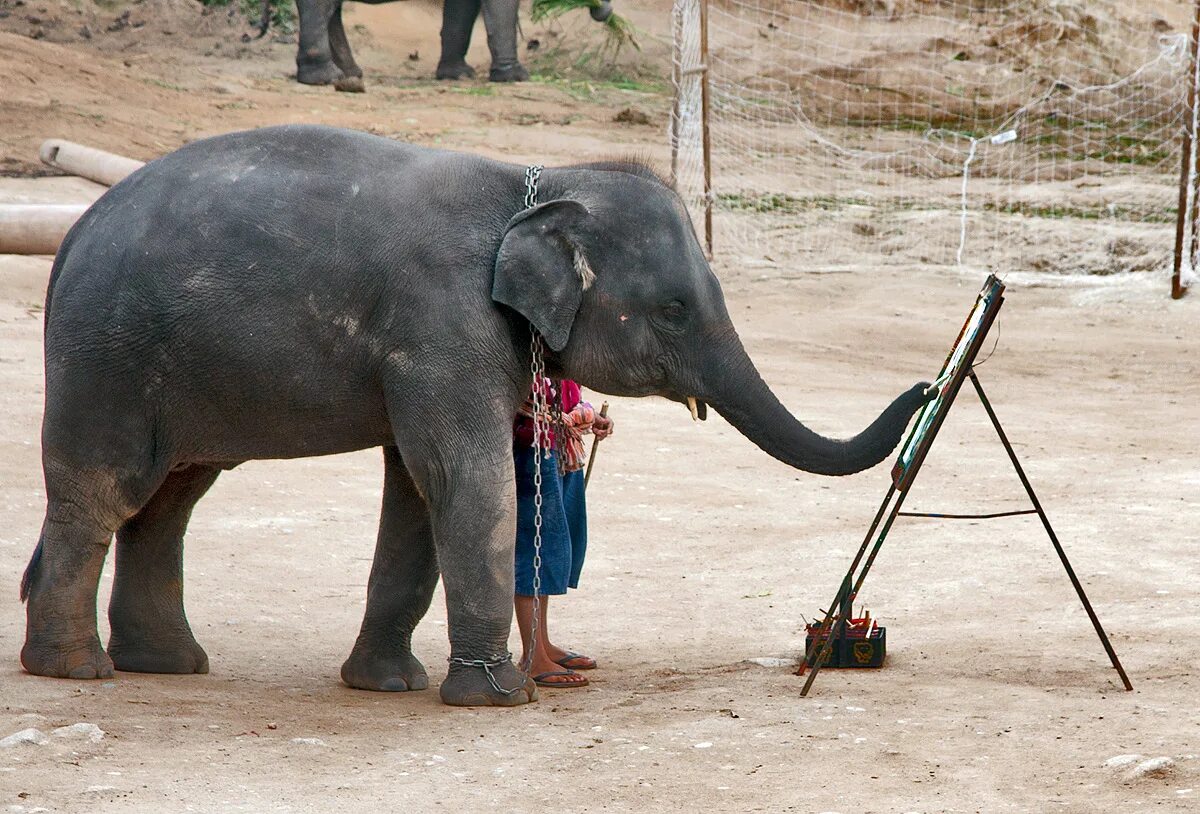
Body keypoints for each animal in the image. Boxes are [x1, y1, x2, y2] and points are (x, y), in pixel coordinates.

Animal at [21, 126, 936, 705]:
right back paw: (77, 672)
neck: (534, 182)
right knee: (106, 491)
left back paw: (167, 665)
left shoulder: (432, 348)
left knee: (172, 495)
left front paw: (391, 686)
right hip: (105, 356)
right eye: (675, 310)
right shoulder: (440, 326)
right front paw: (500, 697)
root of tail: (72, 238)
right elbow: (465, 477)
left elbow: (417, 492)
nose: (929, 388)